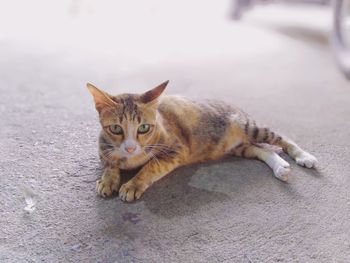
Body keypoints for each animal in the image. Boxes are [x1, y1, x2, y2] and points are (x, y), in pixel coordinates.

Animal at [87, 80, 318, 202]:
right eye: (116, 128)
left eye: (144, 128)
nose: (130, 147)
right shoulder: (103, 148)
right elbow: (109, 162)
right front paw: (108, 180)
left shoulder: (175, 150)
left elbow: (151, 166)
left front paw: (132, 184)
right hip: (236, 147)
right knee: (261, 150)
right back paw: (280, 168)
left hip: (249, 127)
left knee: (281, 138)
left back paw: (304, 156)